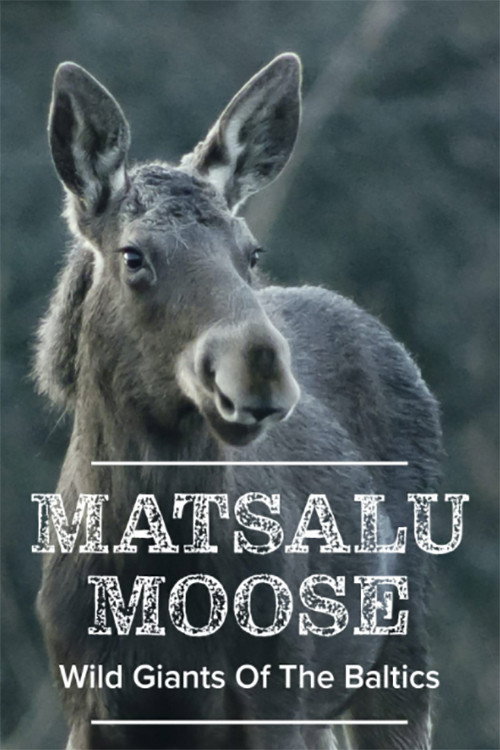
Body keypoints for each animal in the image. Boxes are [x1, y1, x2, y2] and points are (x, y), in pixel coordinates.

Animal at [34, 53, 441, 750]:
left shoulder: (275, 693)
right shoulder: (89, 706)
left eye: (252, 252)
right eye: (133, 255)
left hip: (397, 655)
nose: (261, 370)